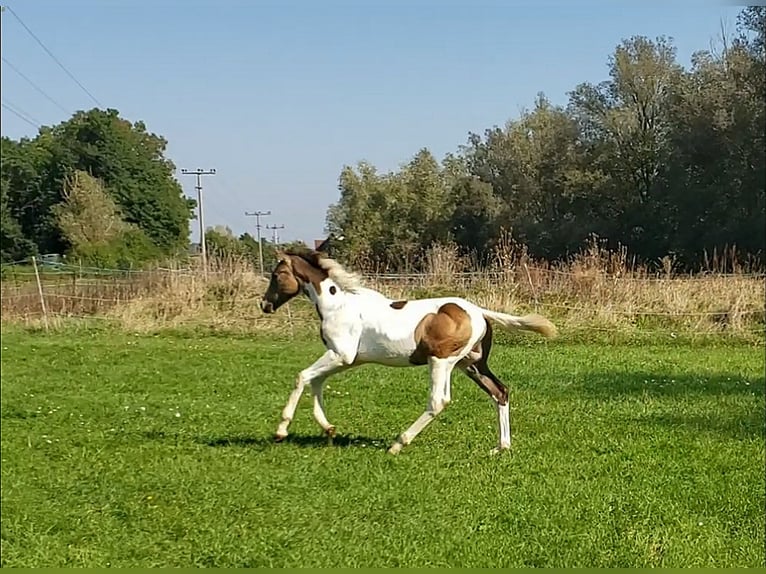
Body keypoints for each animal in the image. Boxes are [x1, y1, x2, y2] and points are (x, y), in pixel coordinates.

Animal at [260, 250, 560, 456]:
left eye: (276, 275)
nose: (264, 305)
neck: (338, 304)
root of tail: (478, 311)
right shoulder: (346, 360)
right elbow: (317, 382)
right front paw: (328, 429)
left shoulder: (340, 355)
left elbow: (302, 376)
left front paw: (281, 430)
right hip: (471, 365)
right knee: (500, 391)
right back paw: (501, 447)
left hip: (441, 361)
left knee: (439, 402)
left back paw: (398, 444)